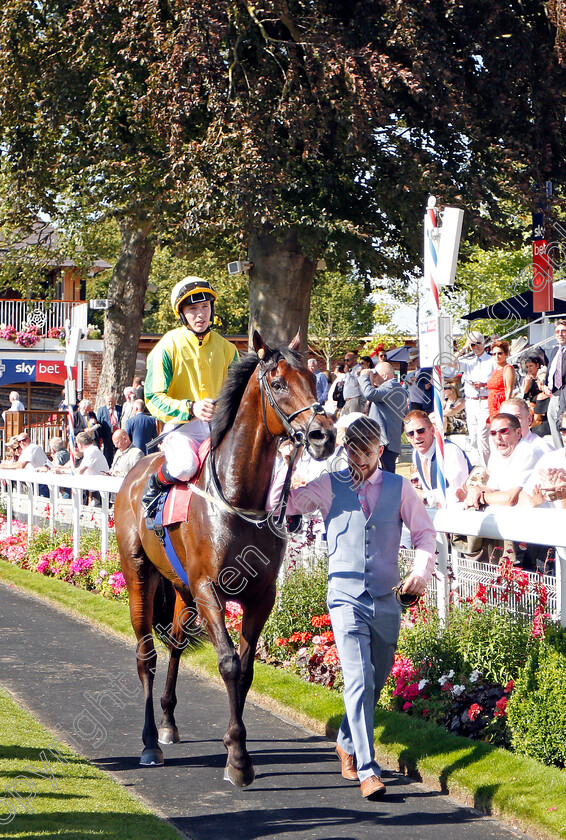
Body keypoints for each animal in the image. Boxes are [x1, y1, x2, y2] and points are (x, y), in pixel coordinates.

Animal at [115, 334, 338, 788]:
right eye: (278, 383)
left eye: (313, 379)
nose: (323, 435)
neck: (238, 498)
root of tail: (137, 468)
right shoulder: (208, 590)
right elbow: (230, 664)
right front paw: (236, 759)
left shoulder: (260, 596)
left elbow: (248, 669)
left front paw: (238, 750)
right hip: (140, 576)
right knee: (147, 655)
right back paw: (149, 742)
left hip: (181, 589)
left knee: (176, 643)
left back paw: (168, 724)